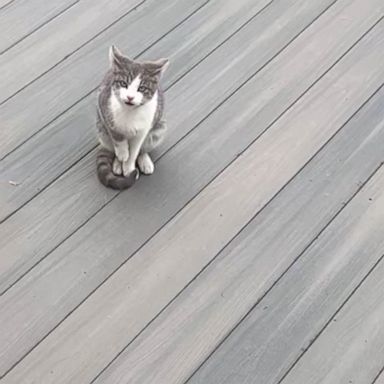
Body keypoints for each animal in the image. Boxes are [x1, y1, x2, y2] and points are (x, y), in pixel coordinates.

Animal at [95, 45, 168, 190]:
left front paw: (129, 167)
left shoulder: (143, 129)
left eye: (142, 88)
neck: (130, 113)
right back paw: (117, 163)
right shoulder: (104, 107)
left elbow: (134, 151)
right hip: (101, 130)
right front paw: (123, 153)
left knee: (143, 148)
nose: (130, 97)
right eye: (124, 83)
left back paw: (144, 161)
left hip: (159, 128)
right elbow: (117, 135)